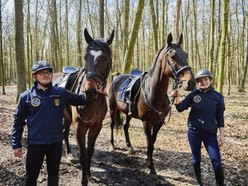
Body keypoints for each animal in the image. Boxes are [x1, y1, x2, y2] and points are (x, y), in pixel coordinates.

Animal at [64, 28, 114, 185]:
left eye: (105, 58)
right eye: (86, 57)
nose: (90, 91)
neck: (92, 102)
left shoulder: (96, 126)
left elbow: (90, 151)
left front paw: (89, 172)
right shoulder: (80, 127)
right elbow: (83, 154)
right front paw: (83, 179)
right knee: (64, 133)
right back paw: (69, 155)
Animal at [108, 33, 196, 176]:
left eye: (186, 55)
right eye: (172, 56)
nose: (191, 82)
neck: (153, 94)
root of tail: (116, 78)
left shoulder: (158, 123)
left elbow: (152, 143)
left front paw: (148, 160)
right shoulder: (146, 123)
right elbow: (149, 143)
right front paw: (151, 167)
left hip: (129, 113)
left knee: (126, 126)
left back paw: (130, 147)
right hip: (112, 108)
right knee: (111, 125)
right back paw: (112, 145)